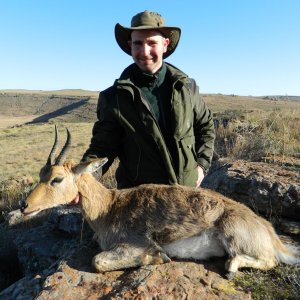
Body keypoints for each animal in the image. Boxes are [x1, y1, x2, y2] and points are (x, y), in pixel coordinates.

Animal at [19, 126, 298, 278]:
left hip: (235, 237)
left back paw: (230, 268)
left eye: (57, 178)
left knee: (269, 260)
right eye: (41, 174)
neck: (109, 207)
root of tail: (269, 232)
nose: (24, 206)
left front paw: (160, 257)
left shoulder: (134, 244)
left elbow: (98, 261)